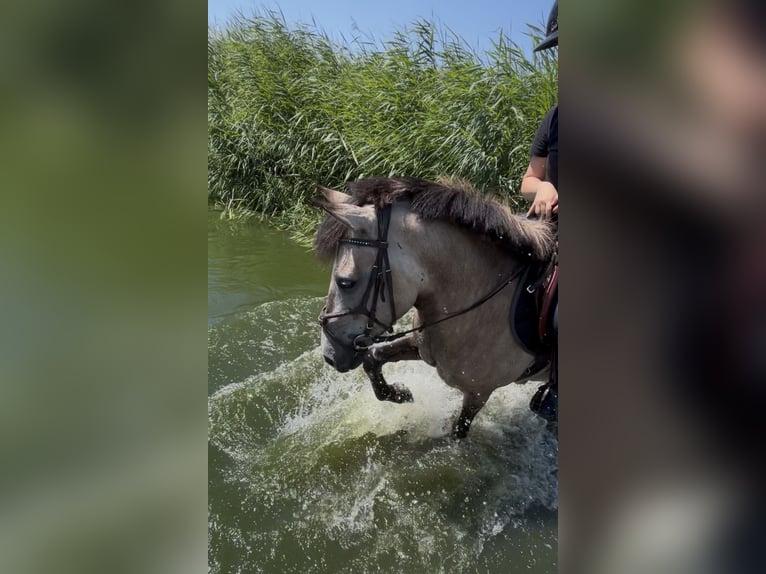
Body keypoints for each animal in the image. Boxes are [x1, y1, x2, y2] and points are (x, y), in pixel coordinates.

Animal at [314, 177, 555, 438]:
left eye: (345, 282)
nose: (329, 355)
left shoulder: (478, 394)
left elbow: (457, 432)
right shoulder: (420, 347)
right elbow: (373, 358)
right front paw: (401, 393)